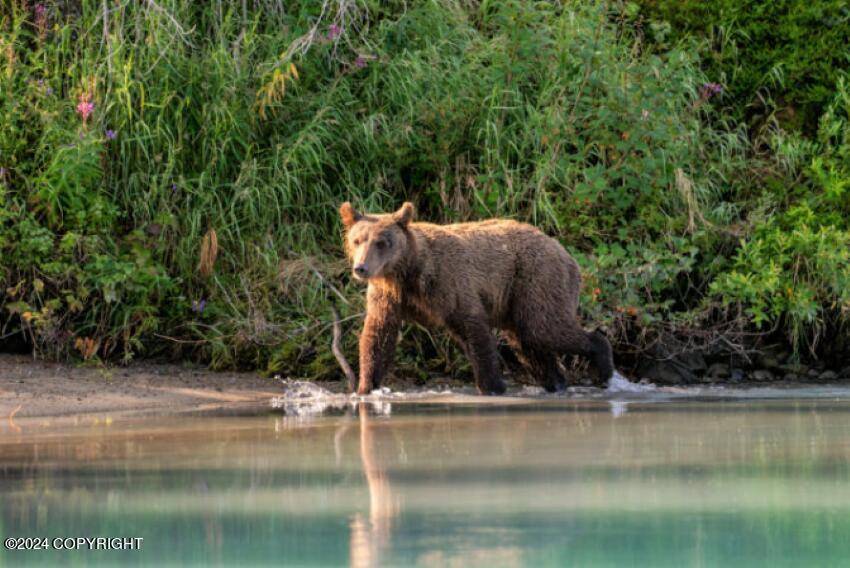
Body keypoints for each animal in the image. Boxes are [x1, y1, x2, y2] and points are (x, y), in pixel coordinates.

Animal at [338, 201, 608, 394]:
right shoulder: (388, 296)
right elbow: (378, 335)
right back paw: (557, 381)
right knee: (529, 341)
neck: (407, 272)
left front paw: (493, 386)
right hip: (517, 299)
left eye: (381, 242)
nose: (361, 268)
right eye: (357, 240)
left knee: (544, 328)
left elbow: (473, 328)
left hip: (537, 278)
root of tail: (565, 252)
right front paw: (365, 387)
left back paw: (601, 364)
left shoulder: (448, 282)